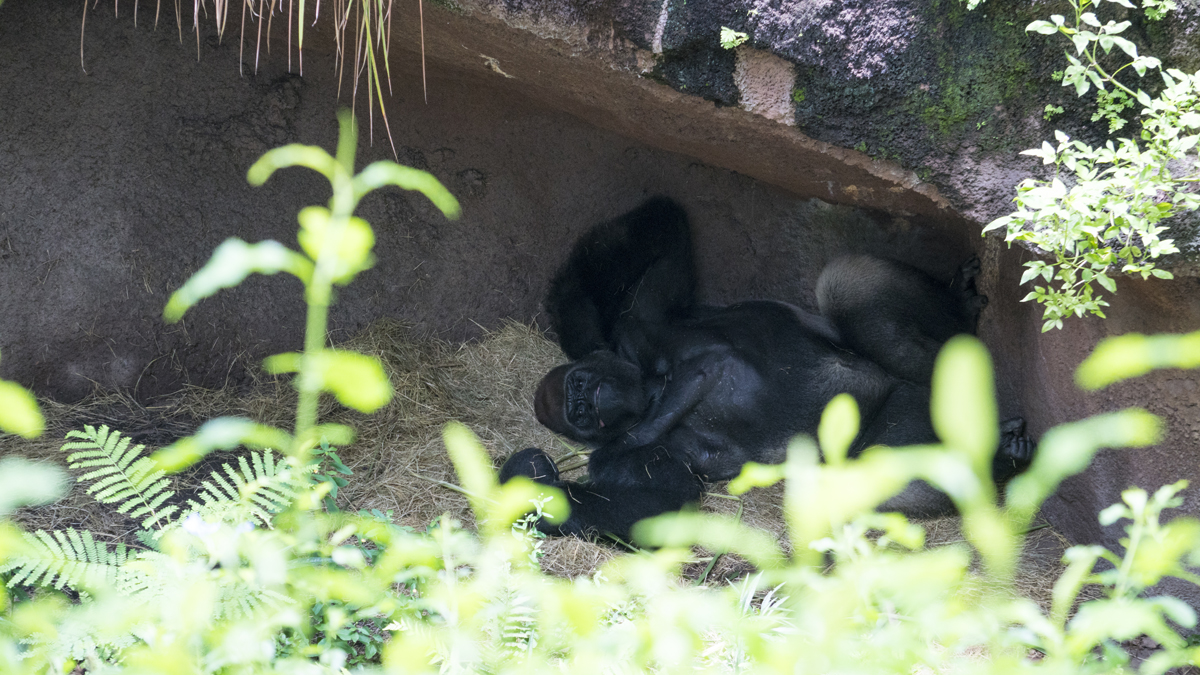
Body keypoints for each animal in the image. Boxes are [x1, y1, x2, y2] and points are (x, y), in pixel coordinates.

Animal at [496, 196, 1032, 538]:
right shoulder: (639, 454)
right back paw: (1002, 457)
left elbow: (652, 243)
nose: (586, 403)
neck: (647, 384)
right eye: (579, 416)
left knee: (846, 286)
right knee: (888, 480)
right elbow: (647, 505)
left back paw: (958, 309)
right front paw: (531, 477)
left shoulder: (638, 327)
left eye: (581, 385)